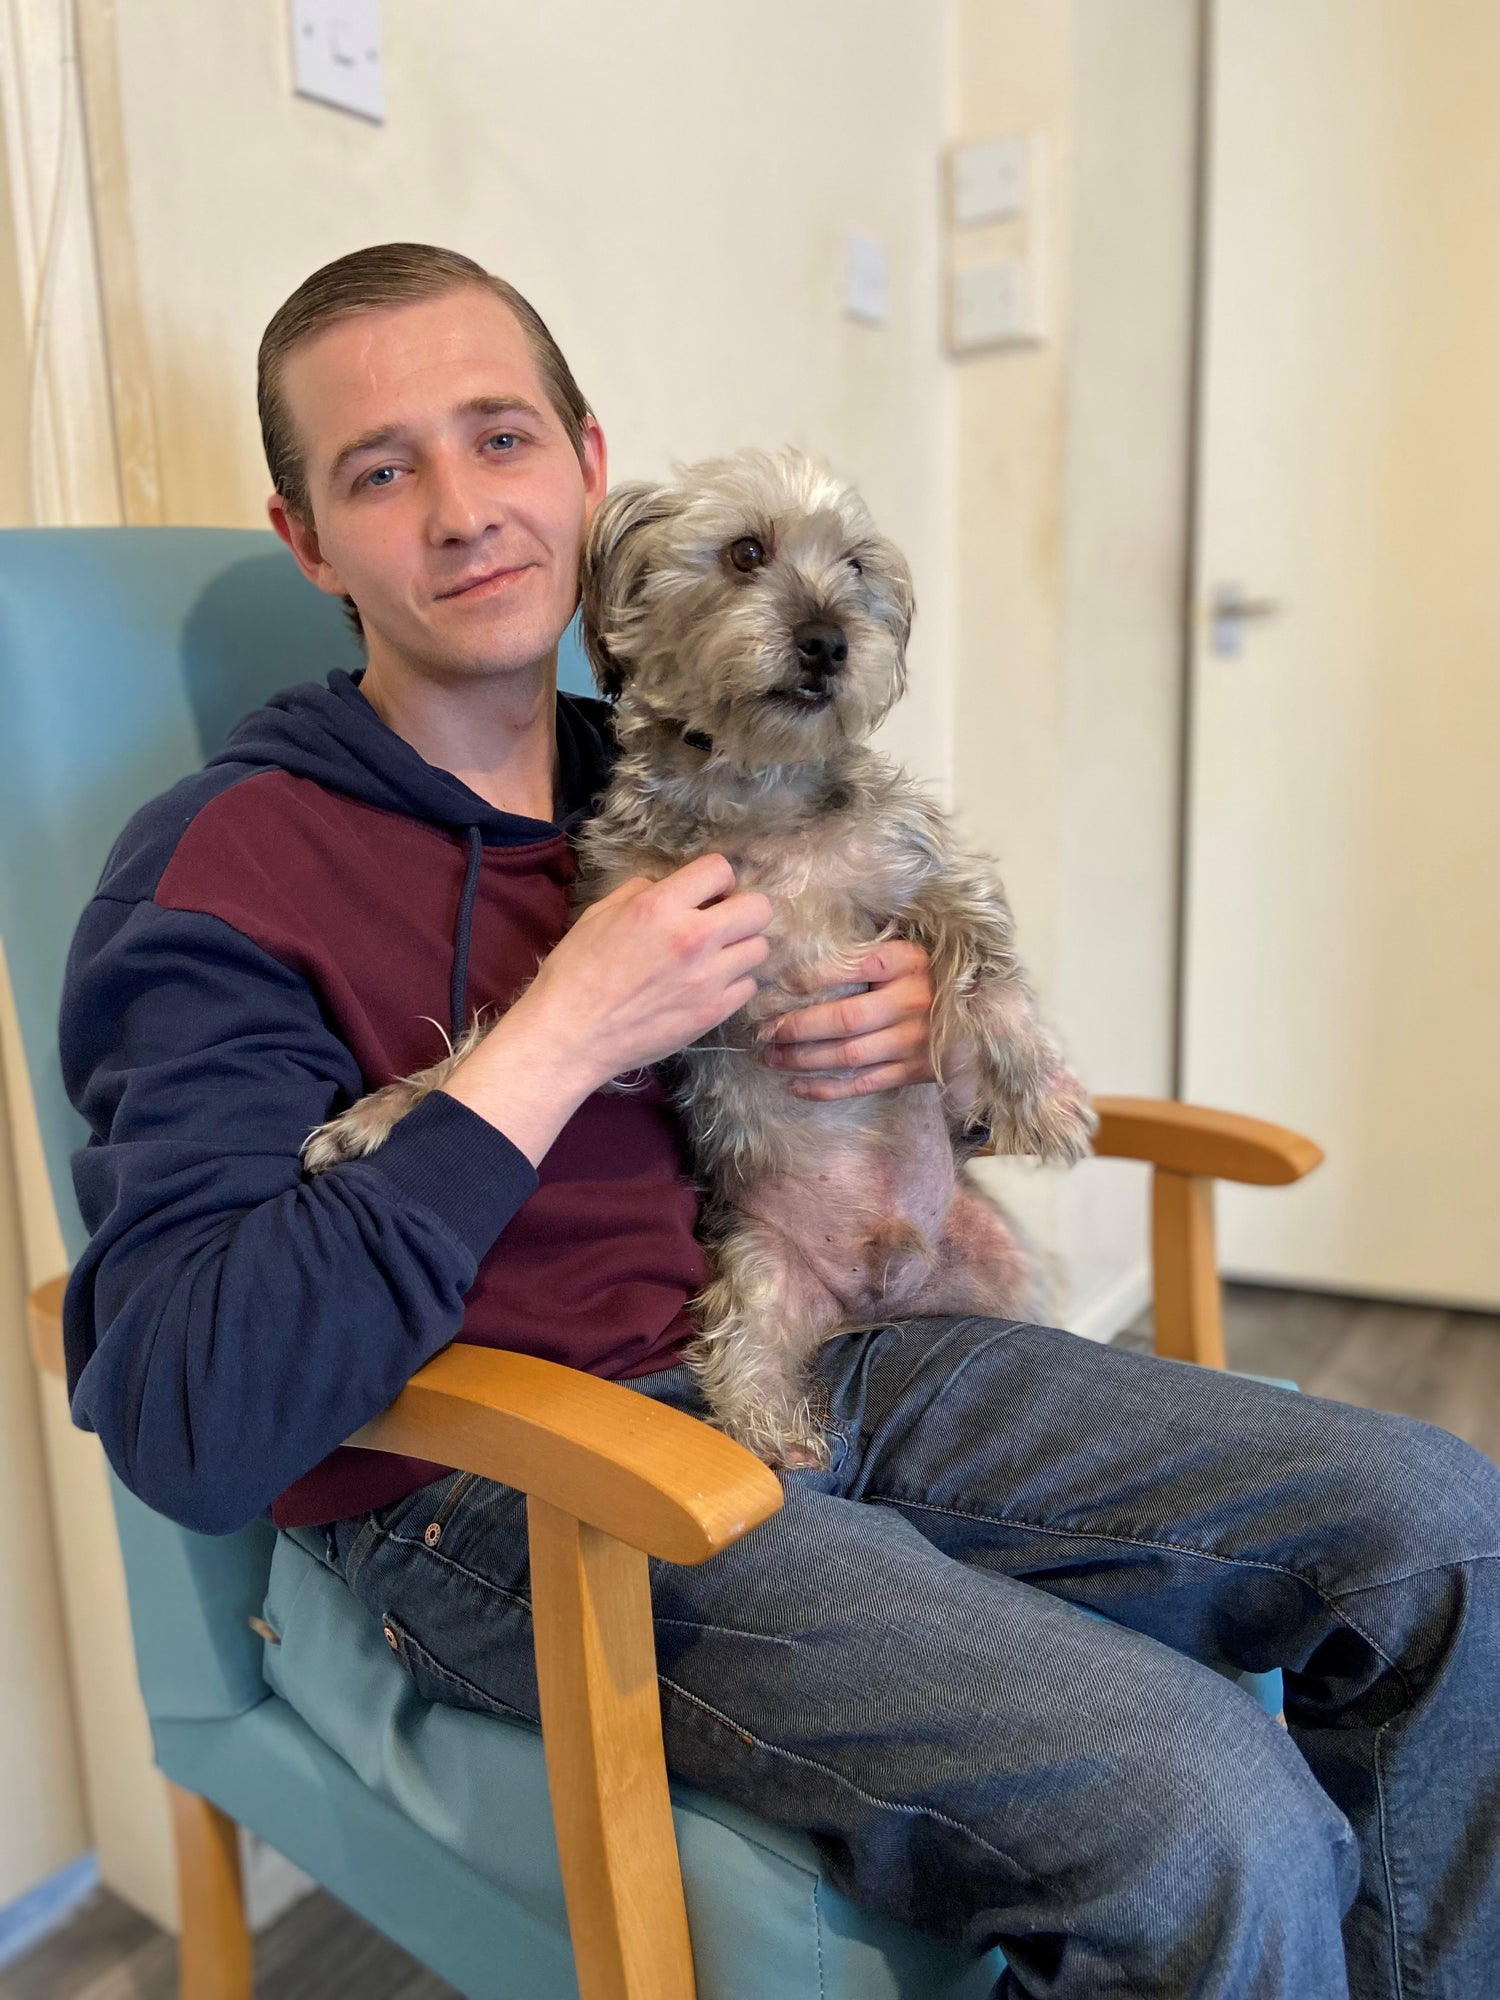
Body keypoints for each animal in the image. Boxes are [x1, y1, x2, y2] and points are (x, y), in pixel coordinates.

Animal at [302, 454, 1096, 1472]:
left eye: (856, 567)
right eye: (746, 552)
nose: (829, 641)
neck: (757, 791)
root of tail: (875, 1296)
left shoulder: (924, 872)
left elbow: (986, 972)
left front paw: (1045, 1097)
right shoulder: (620, 945)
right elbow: (491, 1036)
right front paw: (382, 1113)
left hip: (999, 1257)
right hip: (758, 1268)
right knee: (744, 1359)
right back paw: (785, 1443)